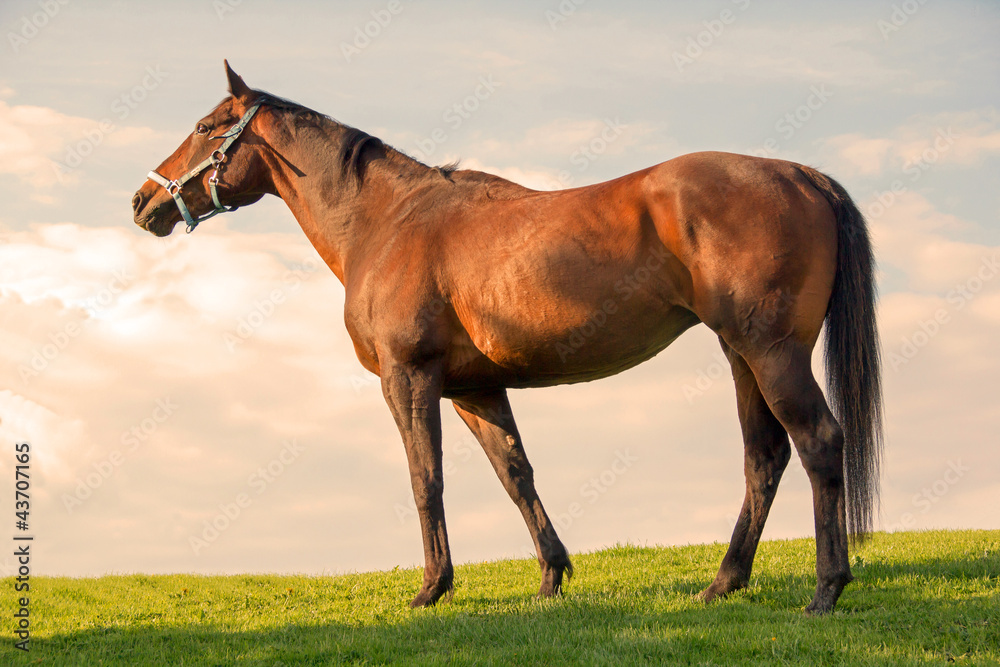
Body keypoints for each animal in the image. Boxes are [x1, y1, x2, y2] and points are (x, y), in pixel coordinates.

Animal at [132, 61, 882, 614]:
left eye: (206, 127)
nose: (143, 201)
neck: (387, 221)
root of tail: (800, 174)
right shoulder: (475, 389)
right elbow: (516, 474)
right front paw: (551, 578)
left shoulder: (409, 378)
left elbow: (425, 477)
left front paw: (432, 588)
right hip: (741, 355)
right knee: (764, 457)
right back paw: (723, 582)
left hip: (771, 353)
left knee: (818, 443)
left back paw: (825, 590)